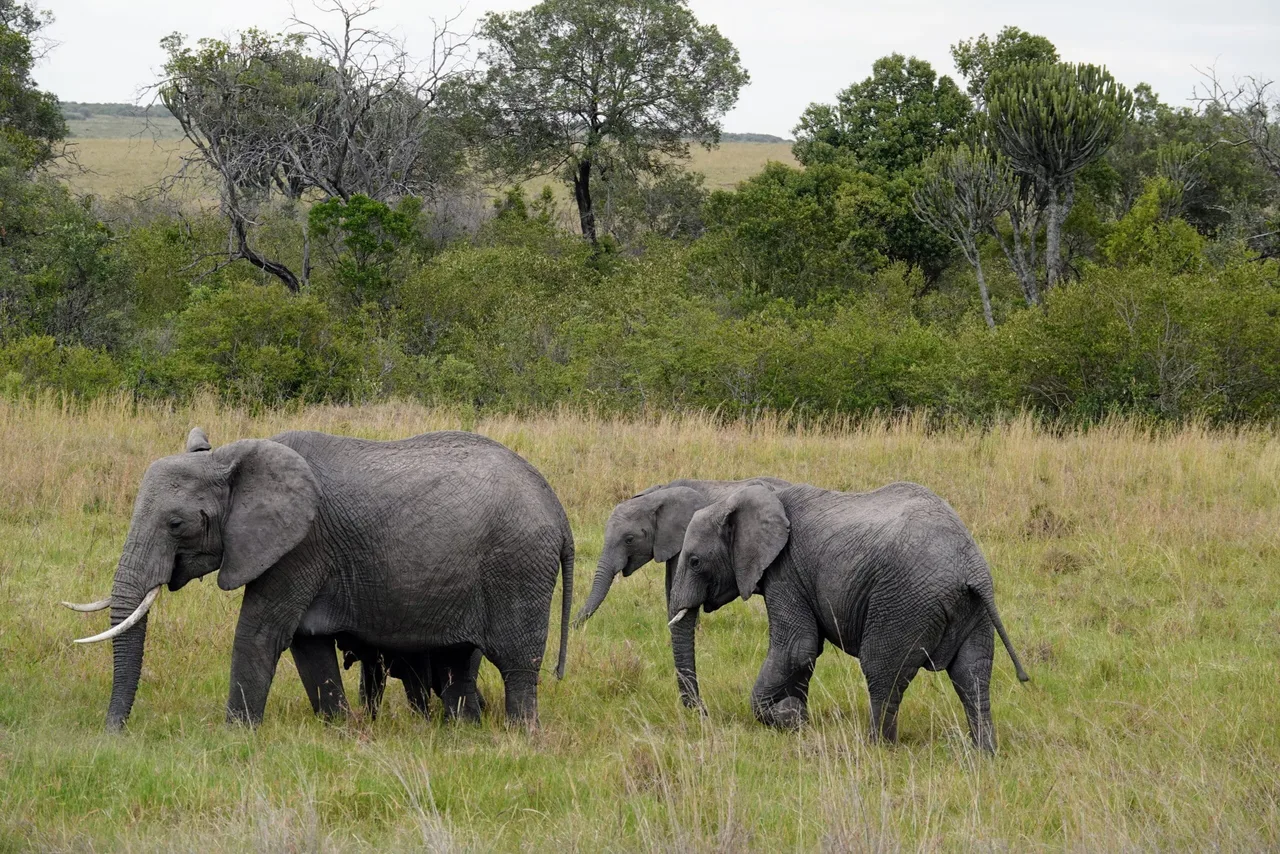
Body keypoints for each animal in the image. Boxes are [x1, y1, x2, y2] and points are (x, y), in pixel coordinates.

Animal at [65, 426, 574, 731]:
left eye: (175, 524)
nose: (114, 734)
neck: (233, 458)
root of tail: (558, 509)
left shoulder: (299, 546)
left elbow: (260, 633)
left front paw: (235, 736)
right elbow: (307, 644)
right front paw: (340, 729)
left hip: (518, 566)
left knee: (517, 663)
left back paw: (520, 737)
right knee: (456, 664)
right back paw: (461, 732)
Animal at [667, 482, 1029, 752]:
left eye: (695, 561)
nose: (703, 714)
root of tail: (970, 569)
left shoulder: (786, 570)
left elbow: (797, 648)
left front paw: (788, 717)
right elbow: (806, 654)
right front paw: (798, 720)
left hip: (903, 603)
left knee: (882, 670)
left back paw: (877, 748)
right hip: (973, 610)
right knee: (972, 674)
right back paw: (982, 753)